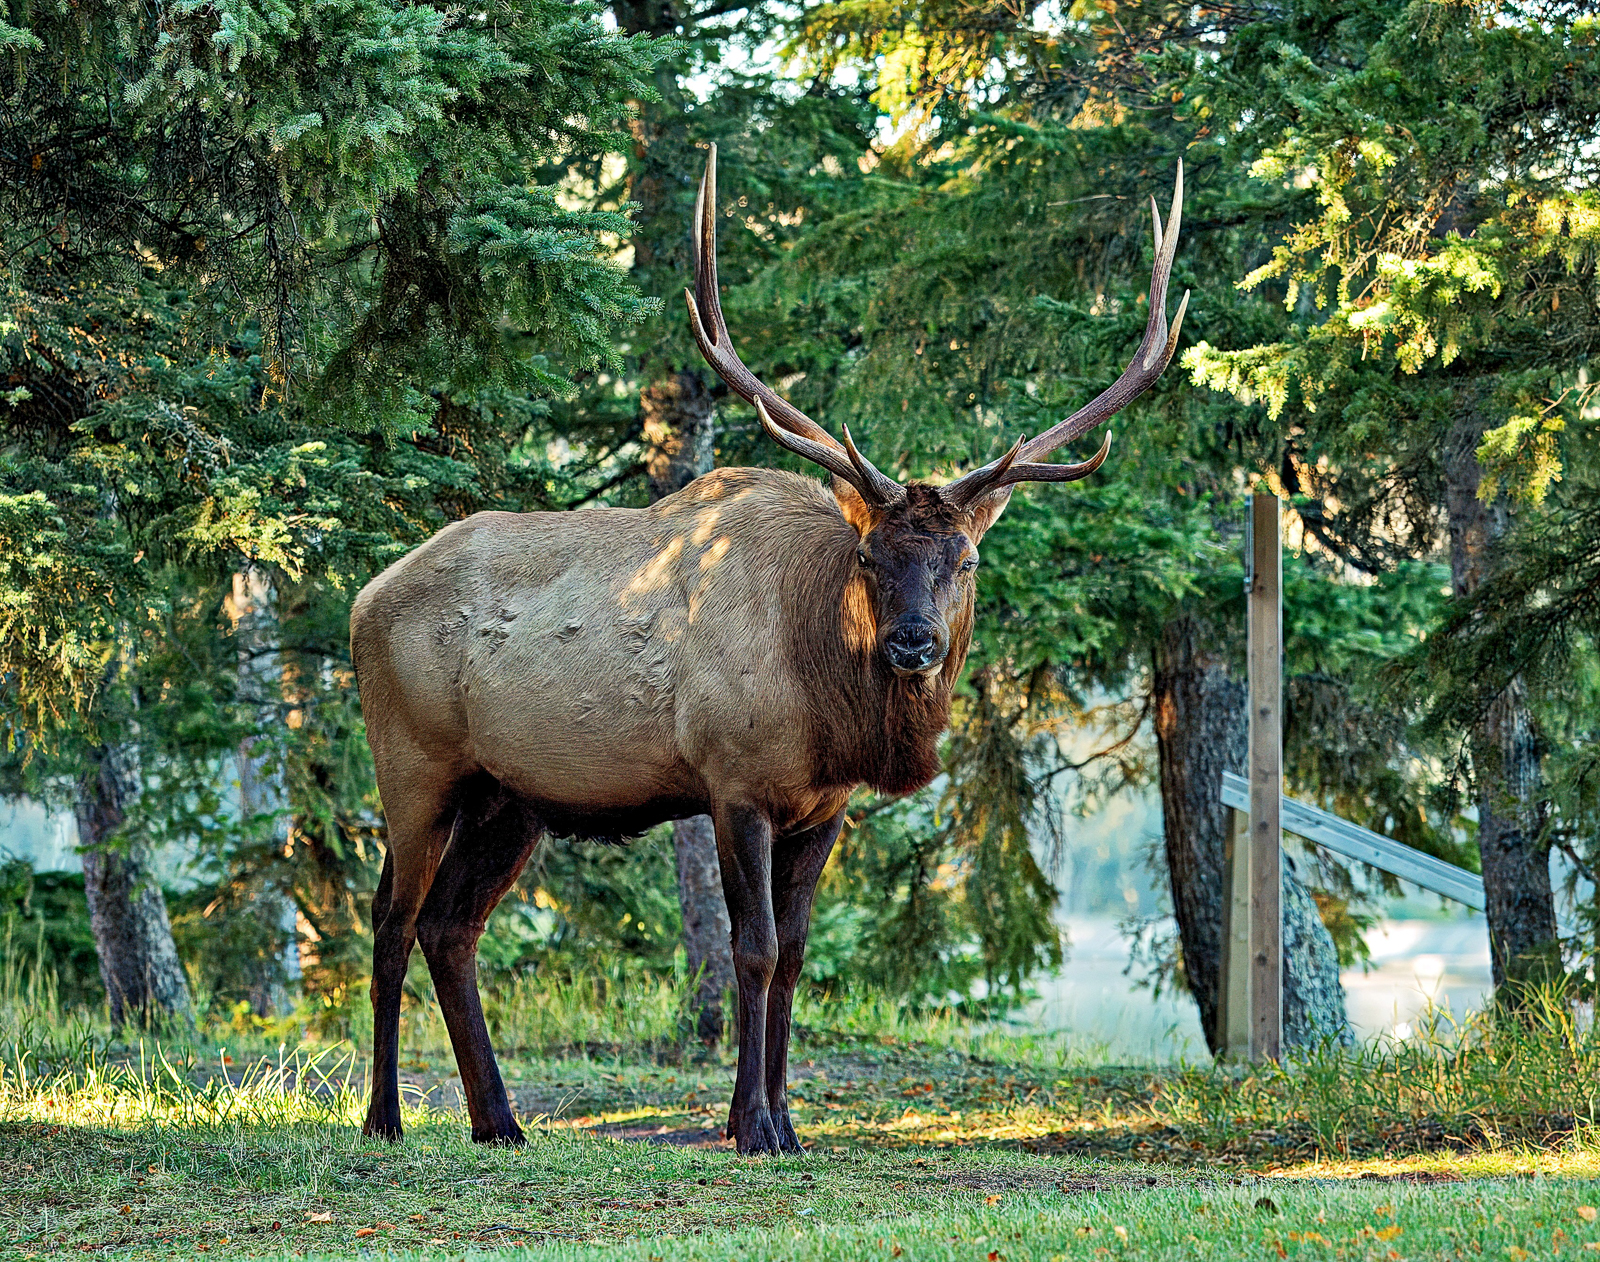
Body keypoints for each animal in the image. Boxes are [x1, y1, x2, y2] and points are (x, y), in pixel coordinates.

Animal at [350, 147, 1186, 1155]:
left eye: (966, 558)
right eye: (870, 555)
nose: (913, 644)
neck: (825, 703)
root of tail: (362, 601)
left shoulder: (823, 808)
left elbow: (794, 959)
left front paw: (788, 1122)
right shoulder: (733, 781)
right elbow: (751, 951)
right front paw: (748, 1124)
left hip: (510, 796)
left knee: (449, 928)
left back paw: (499, 1121)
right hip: (414, 764)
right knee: (391, 923)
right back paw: (385, 1118)